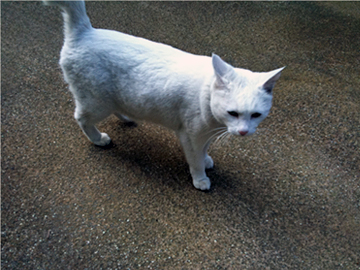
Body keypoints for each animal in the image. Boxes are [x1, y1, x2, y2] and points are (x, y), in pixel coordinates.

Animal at [44, 0, 284, 190]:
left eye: (256, 115)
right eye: (232, 113)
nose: (244, 132)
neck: (207, 95)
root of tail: (85, 32)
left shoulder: (204, 134)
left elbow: (204, 150)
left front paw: (207, 159)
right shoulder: (190, 135)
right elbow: (195, 159)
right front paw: (200, 179)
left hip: (114, 99)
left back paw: (126, 117)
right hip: (96, 102)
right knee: (81, 118)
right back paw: (98, 139)